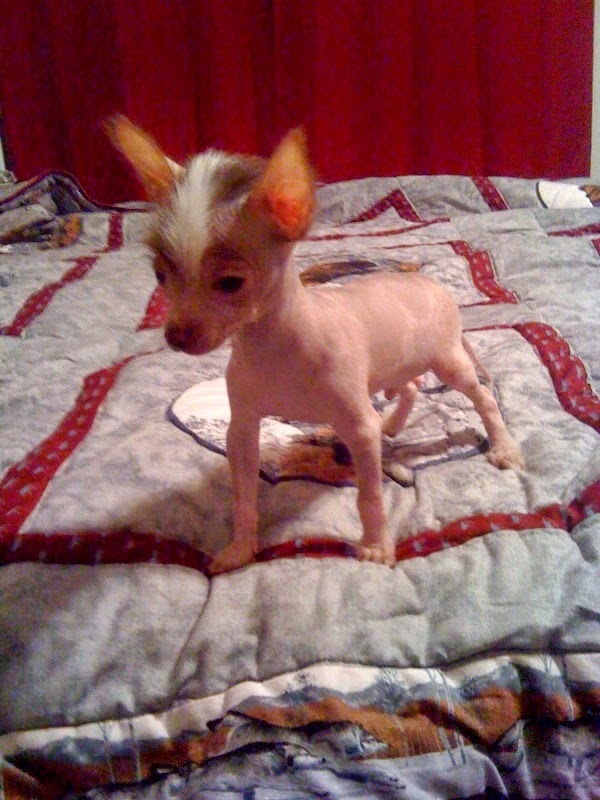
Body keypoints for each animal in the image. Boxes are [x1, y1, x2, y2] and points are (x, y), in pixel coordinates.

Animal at [107, 116, 524, 573]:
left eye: (231, 283)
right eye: (160, 276)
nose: (176, 336)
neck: (271, 348)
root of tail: (433, 285)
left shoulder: (356, 429)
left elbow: (370, 495)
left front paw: (376, 546)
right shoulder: (242, 429)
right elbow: (243, 496)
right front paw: (241, 548)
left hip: (448, 360)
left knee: (482, 397)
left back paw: (502, 447)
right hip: (394, 365)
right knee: (410, 389)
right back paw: (390, 426)